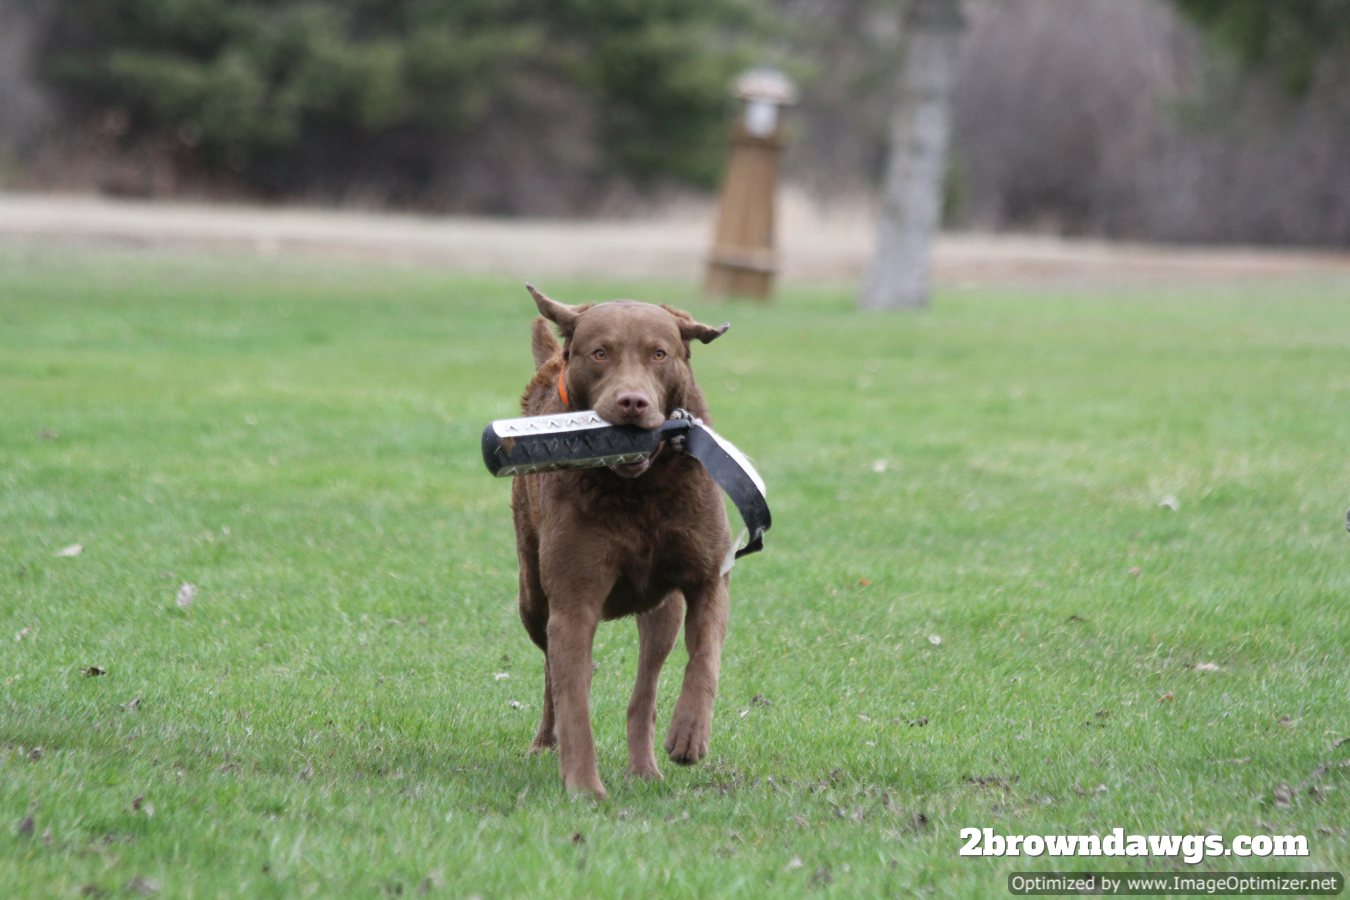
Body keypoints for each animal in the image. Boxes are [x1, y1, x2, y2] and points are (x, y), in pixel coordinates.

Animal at [510, 285, 734, 798]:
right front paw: (584, 787)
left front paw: (690, 733)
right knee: (554, 673)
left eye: (659, 354)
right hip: (531, 596)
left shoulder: (708, 577)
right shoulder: (573, 600)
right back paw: (545, 743)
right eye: (600, 353)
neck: (639, 489)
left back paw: (645, 767)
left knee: (644, 690)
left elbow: (705, 656)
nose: (632, 402)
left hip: (662, 610)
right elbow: (574, 700)